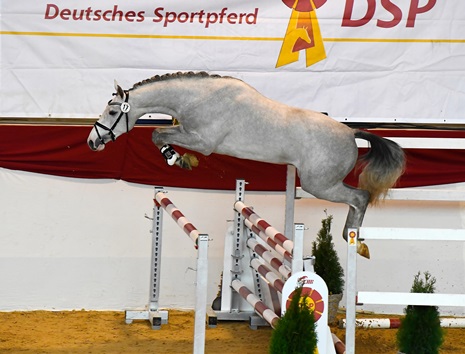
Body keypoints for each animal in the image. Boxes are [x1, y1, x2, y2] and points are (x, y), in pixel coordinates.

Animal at [86, 71, 402, 258]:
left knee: (360, 197)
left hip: (321, 185)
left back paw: (356, 240)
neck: (198, 97)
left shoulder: (203, 141)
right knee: (358, 199)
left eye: (112, 111)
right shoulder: (190, 133)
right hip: (323, 184)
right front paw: (180, 159)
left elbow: (156, 134)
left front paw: (178, 159)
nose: (92, 142)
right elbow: (157, 135)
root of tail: (351, 132)